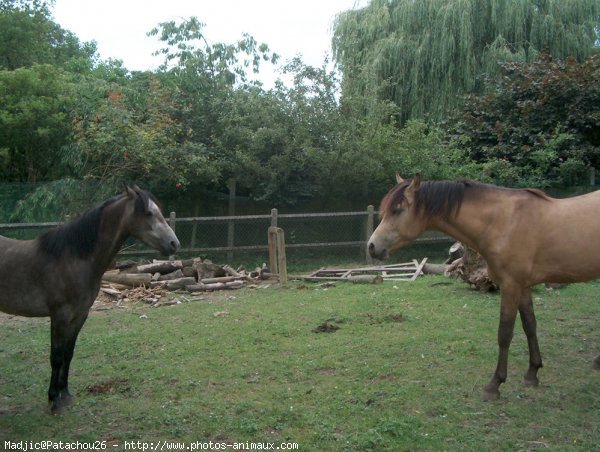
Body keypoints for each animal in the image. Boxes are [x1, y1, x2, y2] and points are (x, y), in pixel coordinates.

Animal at [0, 185, 179, 414]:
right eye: (148, 213)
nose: (174, 243)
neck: (74, 259)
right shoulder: (60, 316)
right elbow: (56, 357)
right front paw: (54, 400)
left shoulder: (80, 314)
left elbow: (68, 354)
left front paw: (65, 395)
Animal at [368, 175, 596, 400]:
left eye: (398, 209)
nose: (371, 246)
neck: (503, 221)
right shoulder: (522, 286)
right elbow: (530, 325)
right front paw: (532, 373)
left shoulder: (511, 285)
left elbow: (505, 334)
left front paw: (495, 384)